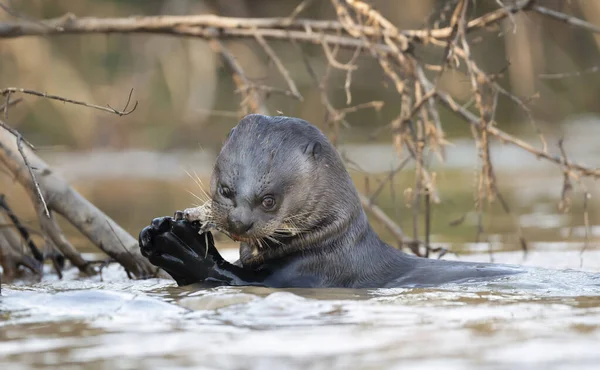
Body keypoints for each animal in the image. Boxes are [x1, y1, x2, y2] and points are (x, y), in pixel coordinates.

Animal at [138, 114, 524, 288]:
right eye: (226, 190)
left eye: (269, 200)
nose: (239, 223)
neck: (329, 244)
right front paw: (157, 228)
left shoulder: (314, 273)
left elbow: (231, 276)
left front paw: (181, 245)